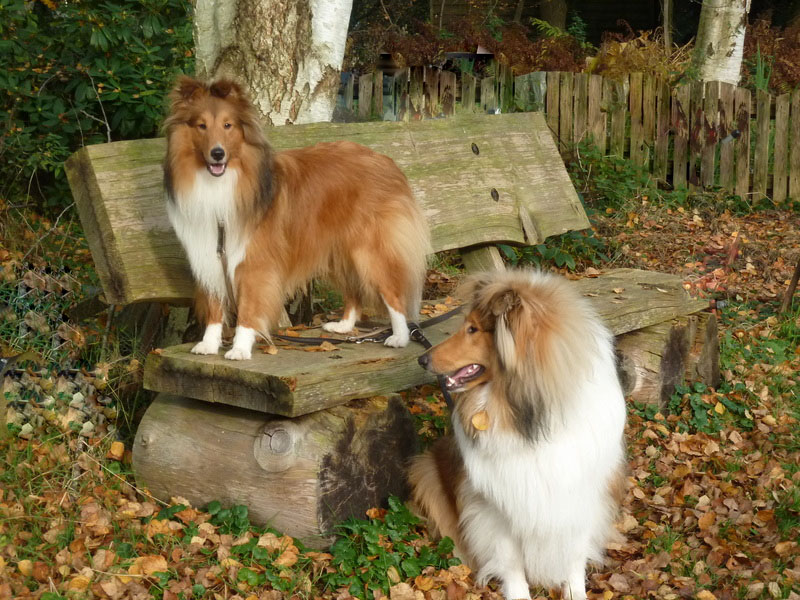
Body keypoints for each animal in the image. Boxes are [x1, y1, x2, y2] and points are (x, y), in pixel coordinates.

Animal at [162, 77, 432, 358]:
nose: (217, 154)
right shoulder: (209, 255)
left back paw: (400, 336)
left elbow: (248, 309)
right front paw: (209, 343)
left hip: (369, 252)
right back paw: (345, 326)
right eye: (201, 126)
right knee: (354, 290)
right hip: (339, 251)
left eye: (228, 125)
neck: (221, 183)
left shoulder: (254, 264)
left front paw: (240, 349)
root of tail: (387, 161)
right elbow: (214, 306)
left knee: (393, 294)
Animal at [412, 272, 624, 600]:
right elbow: (510, 559)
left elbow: (574, 553)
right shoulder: (494, 504)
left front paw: (574, 590)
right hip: (426, 472)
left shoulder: (581, 496)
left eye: (473, 329)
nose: (422, 360)